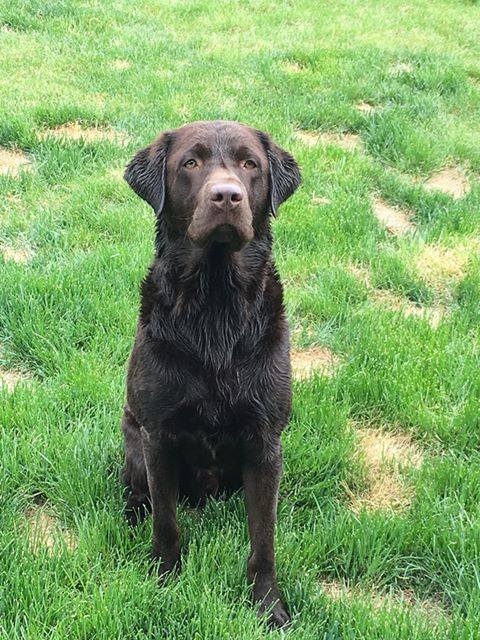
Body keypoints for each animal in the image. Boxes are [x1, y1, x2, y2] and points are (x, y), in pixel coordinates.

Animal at [120, 121, 300, 632]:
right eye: (191, 163)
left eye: (249, 164)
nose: (227, 196)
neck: (216, 307)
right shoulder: (158, 436)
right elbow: (166, 523)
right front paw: (164, 580)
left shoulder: (266, 442)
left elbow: (264, 540)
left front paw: (267, 604)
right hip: (133, 441)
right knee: (140, 493)